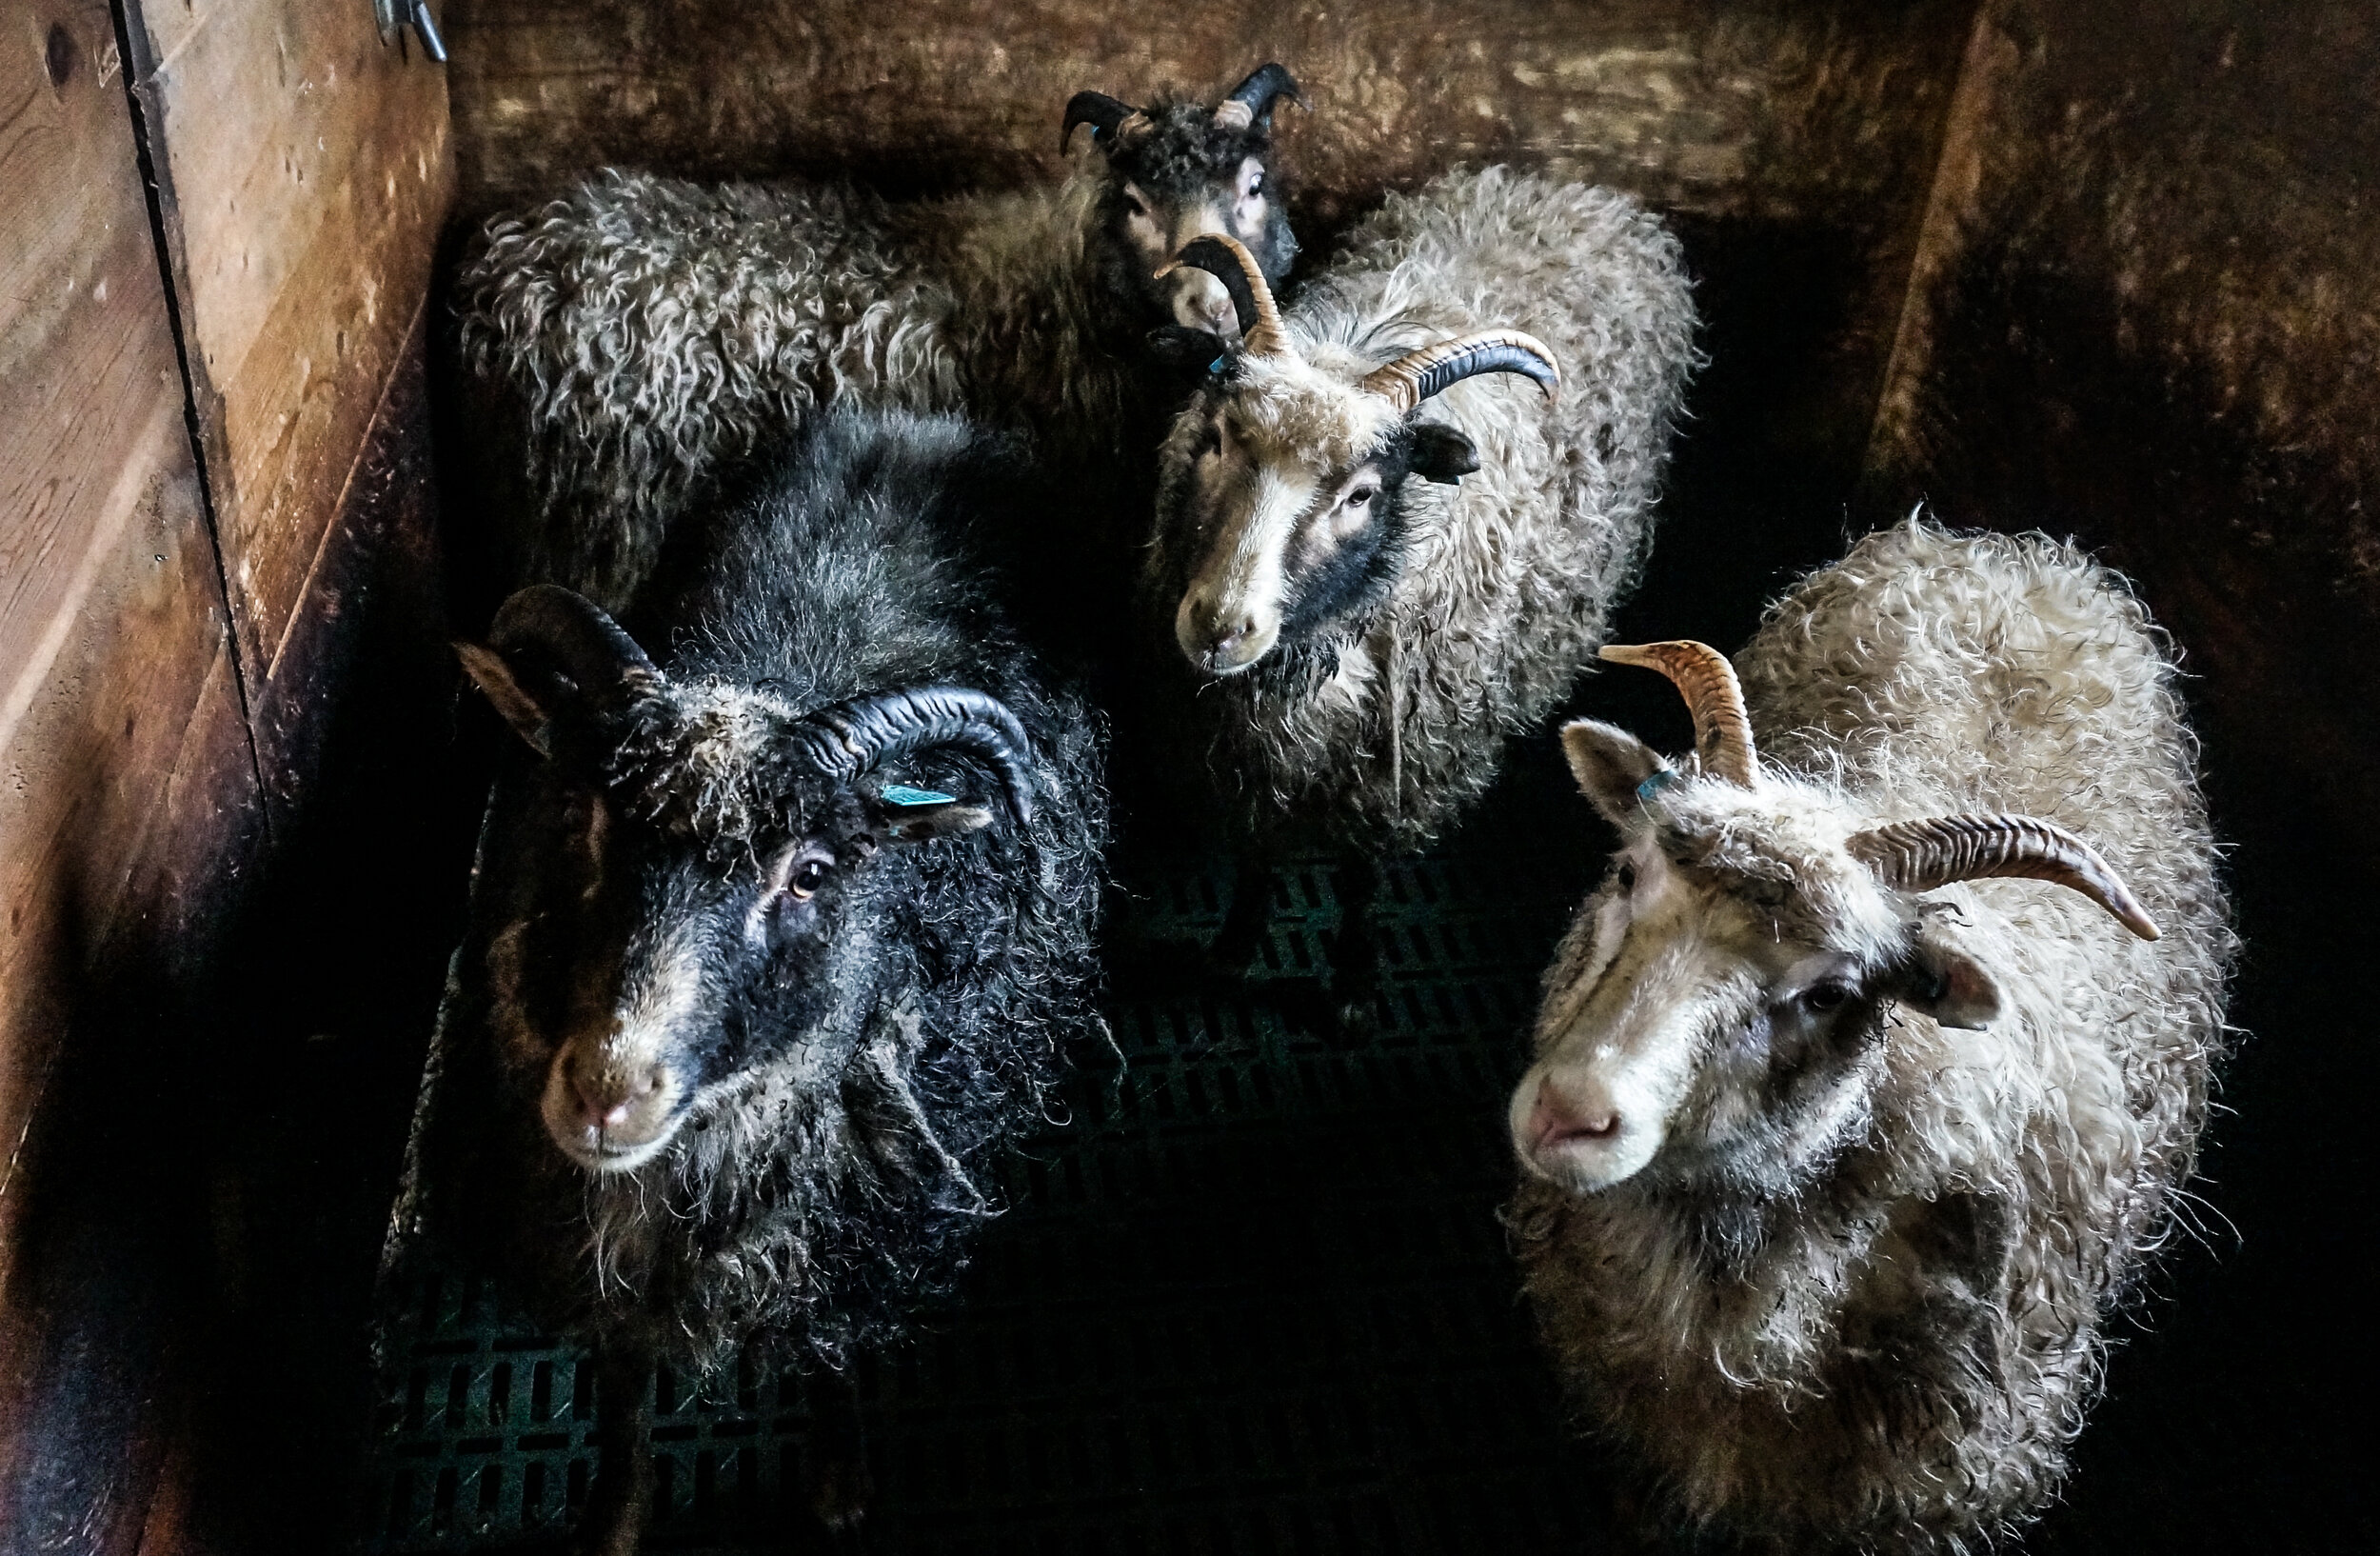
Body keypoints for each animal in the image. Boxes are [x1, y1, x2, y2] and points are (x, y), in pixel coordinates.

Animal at [381, 409, 1104, 1551]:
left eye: (810, 872)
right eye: (586, 817)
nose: (608, 1090)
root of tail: (921, 421)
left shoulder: (858, 1234)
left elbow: (837, 1349)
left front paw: (841, 1483)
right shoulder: (604, 1273)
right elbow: (622, 1388)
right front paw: (615, 1516)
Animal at [447, 67, 1304, 613]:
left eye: (1254, 187)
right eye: (1132, 202)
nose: (1208, 306)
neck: (1055, 294)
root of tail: (509, 263)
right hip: (601, 517)